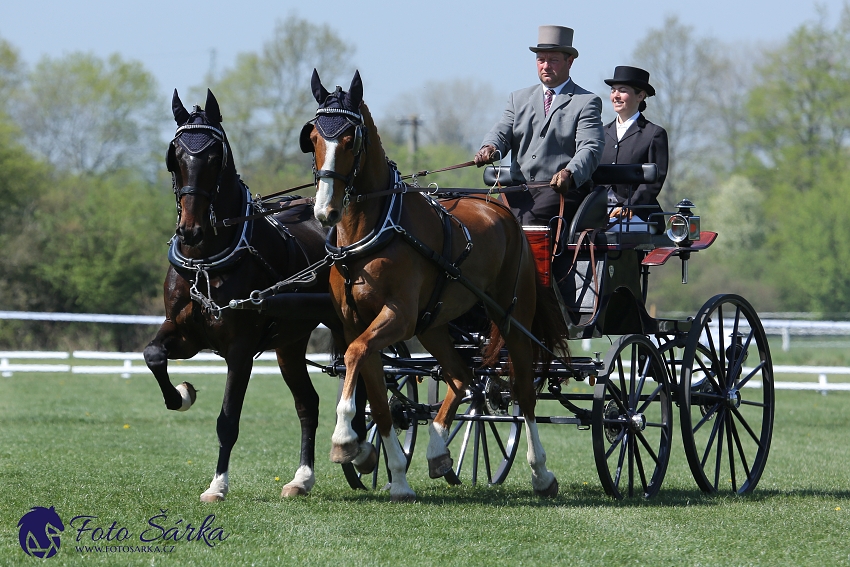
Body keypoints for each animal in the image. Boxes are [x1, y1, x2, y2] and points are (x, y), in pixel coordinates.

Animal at [144, 91, 370, 504]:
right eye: (176, 154)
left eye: (213, 156)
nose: (190, 230)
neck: (208, 260)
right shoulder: (184, 333)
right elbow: (153, 355)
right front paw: (182, 394)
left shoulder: (240, 348)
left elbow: (228, 419)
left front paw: (217, 484)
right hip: (290, 344)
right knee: (308, 403)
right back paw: (303, 478)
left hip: (344, 326)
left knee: (360, 380)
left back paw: (358, 447)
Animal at [302, 70, 568, 502]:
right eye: (312, 137)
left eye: (350, 138)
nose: (325, 210)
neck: (375, 230)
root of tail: (501, 210)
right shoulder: (357, 323)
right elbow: (378, 399)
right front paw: (394, 474)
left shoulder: (397, 316)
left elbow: (356, 357)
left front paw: (344, 440)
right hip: (434, 325)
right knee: (461, 377)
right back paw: (438, 451)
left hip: (511, 317)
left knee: (523, 391)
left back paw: (541, 472)